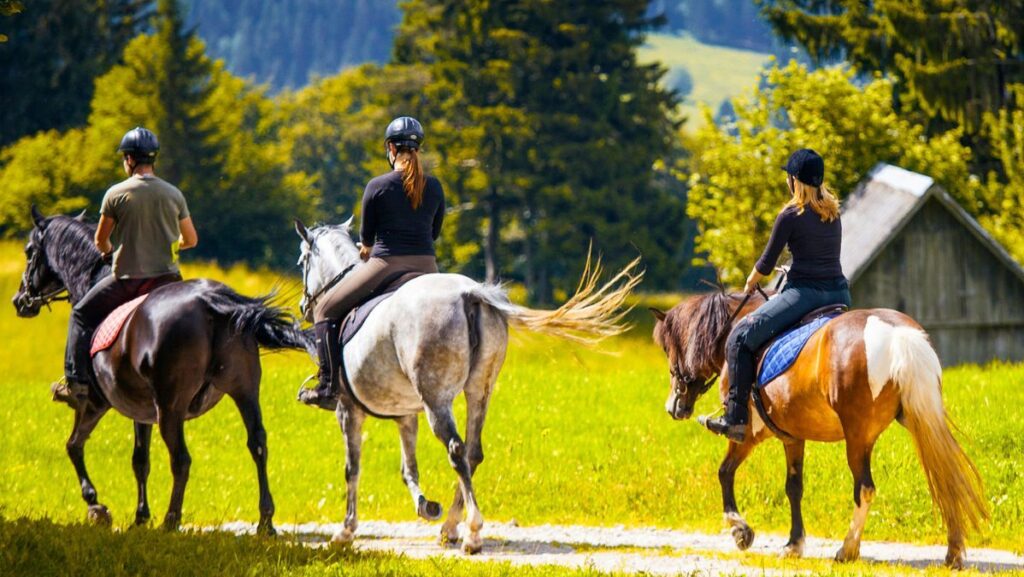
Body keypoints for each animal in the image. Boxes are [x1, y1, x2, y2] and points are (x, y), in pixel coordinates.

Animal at [12, 210, 309, 537]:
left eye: (29, 252)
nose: (19, 301)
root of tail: (211, 300)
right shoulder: (141, 411)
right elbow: (140, 460)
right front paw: (140, 516)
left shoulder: (95, 403)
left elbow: (74, 446)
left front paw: (96, 505)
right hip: (244, 391)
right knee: (257, 444)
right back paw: (265, 522)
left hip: (170, 406)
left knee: (181, 459)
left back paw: (171, 520)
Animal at [292, 219, 634, 553]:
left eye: (302, 261)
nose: (304, 307)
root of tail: (470, 293)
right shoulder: (405, 414)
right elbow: (408, 469)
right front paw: (426, 506)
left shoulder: (348, 410)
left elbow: (352, 469)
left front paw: (345, 532)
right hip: (479, 392)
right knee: (472, 452)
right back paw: (450, 528)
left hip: (436, 398)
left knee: (456, 450)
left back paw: (472, 533)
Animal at [651, 291, 987, 569]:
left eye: (669, 349)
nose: (673, 407)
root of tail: (896, 334)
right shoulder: (793, 437)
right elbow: (794, 488)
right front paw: (793, 544)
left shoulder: (747, 435)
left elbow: (724, 472)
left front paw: (740, 531)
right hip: (920, 420)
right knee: (947, 477)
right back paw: (953, 553)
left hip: (858, 437)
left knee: (865, 489)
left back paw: (847, 550)